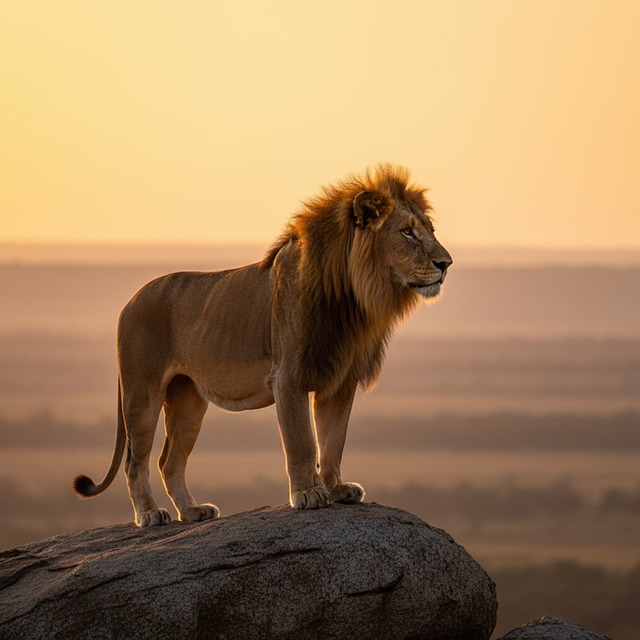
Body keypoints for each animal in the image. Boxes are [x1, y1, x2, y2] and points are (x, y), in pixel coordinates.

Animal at [73, 164, 452, 527]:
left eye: (430, 229)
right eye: (407, 232)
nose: (446, 264)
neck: (352, 299)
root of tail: (130, 301)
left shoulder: (339, 381)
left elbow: (333, 441)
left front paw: (336, 488)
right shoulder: (288, 377)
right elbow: (302, 442)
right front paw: (308, 494)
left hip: (188, 400)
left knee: (169, 461)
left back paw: (192, 511)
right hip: (142, 394)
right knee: (135, 462)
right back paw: (150, 514)